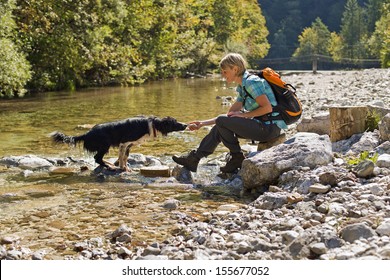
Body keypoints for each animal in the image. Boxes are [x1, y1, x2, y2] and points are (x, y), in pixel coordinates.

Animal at [50, 116, 187, 171]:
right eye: (175, 122)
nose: (186, 125)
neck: (151, 124)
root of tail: (87, 133)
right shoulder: (124, 142)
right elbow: (122, 157)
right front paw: (122, 168)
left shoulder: (128, 145)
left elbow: (125, 157)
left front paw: (125, 168)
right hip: (105, 145)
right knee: (97, 158)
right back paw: (110, 166)